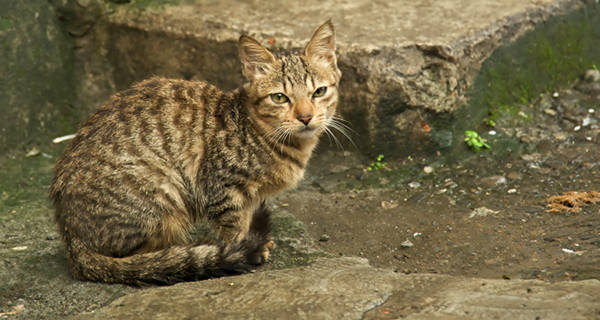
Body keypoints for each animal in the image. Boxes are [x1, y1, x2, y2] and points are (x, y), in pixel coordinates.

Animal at [48, 20, 342, 284]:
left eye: (319, 92)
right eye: (279, 97)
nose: (306, 117)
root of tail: (72, 240)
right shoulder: (221, 187)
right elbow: (233, 227)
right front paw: (237, 250)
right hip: (163, 191)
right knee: (140, 258)